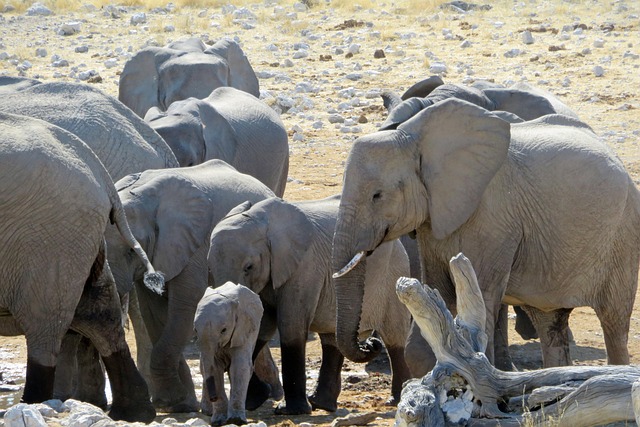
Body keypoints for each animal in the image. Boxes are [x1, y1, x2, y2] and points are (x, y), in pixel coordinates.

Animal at [194, 282, 264, 426]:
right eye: (195, 330)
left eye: (224, 330)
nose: (213, 398)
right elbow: (215, 369)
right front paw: (219, 421)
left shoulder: (243, 329)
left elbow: (239, 367)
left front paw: (236, 420)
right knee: (203, 369)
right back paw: (207, 412)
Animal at [208, 195, 412, 415]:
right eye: (209, 268)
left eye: (249, 267)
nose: (371, 344)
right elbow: (260, 327)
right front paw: (254, 401)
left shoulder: (305, 266)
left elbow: (290, 327)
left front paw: (290, 411)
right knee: (332, 338)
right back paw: (321, 404)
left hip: (394, 273)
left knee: (394, 338)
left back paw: (396, 399)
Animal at [332, 98, 640, 373]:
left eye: (377, 196)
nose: (371, 344)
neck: (415, 138)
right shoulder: (435, 222)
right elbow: (436, 298)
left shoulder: (493, 216)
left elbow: (480, 296)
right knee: (550, 321)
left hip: (623, 234)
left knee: (613, 321)